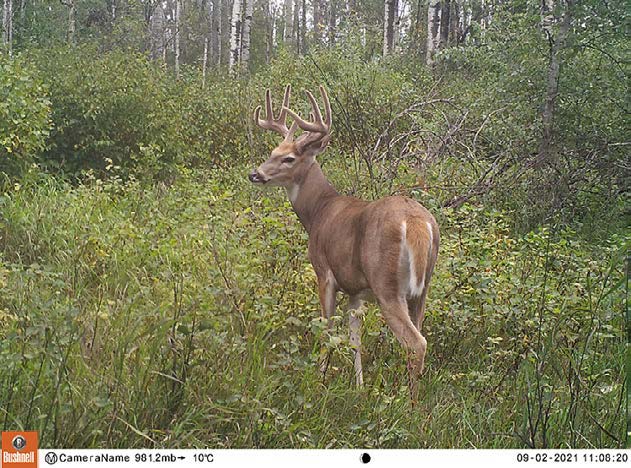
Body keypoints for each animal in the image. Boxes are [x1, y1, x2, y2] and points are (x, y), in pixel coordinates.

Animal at [248, 85, 440, 398]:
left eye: (289, 158)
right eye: (272, 152)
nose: (255, 174)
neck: (318, 211)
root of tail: (416, 223)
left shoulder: (325, 272)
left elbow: (326, 329)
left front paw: (319, 380)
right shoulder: (355, 291)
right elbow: (354, 339)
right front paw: (359, 386)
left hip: (387, 285)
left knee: (416, 344)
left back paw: (409, 404)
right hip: (421, 290)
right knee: (421, 333)